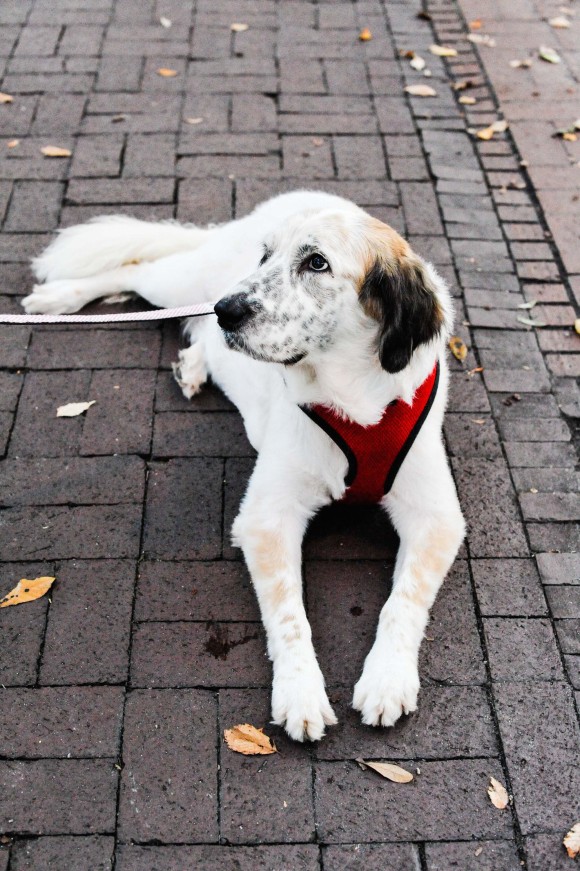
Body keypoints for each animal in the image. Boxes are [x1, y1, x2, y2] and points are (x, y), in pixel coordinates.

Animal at [24, 191, 464, 744]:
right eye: (267, 256)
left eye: (316, 263)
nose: (226, 310)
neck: (354, 397)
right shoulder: (266, 518)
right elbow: (291, 613)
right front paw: (300, 692)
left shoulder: (437, 518)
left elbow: (403, 599)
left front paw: (387, 678)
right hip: (182, 281)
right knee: (133, 268)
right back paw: (58, 297)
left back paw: (195, 361)